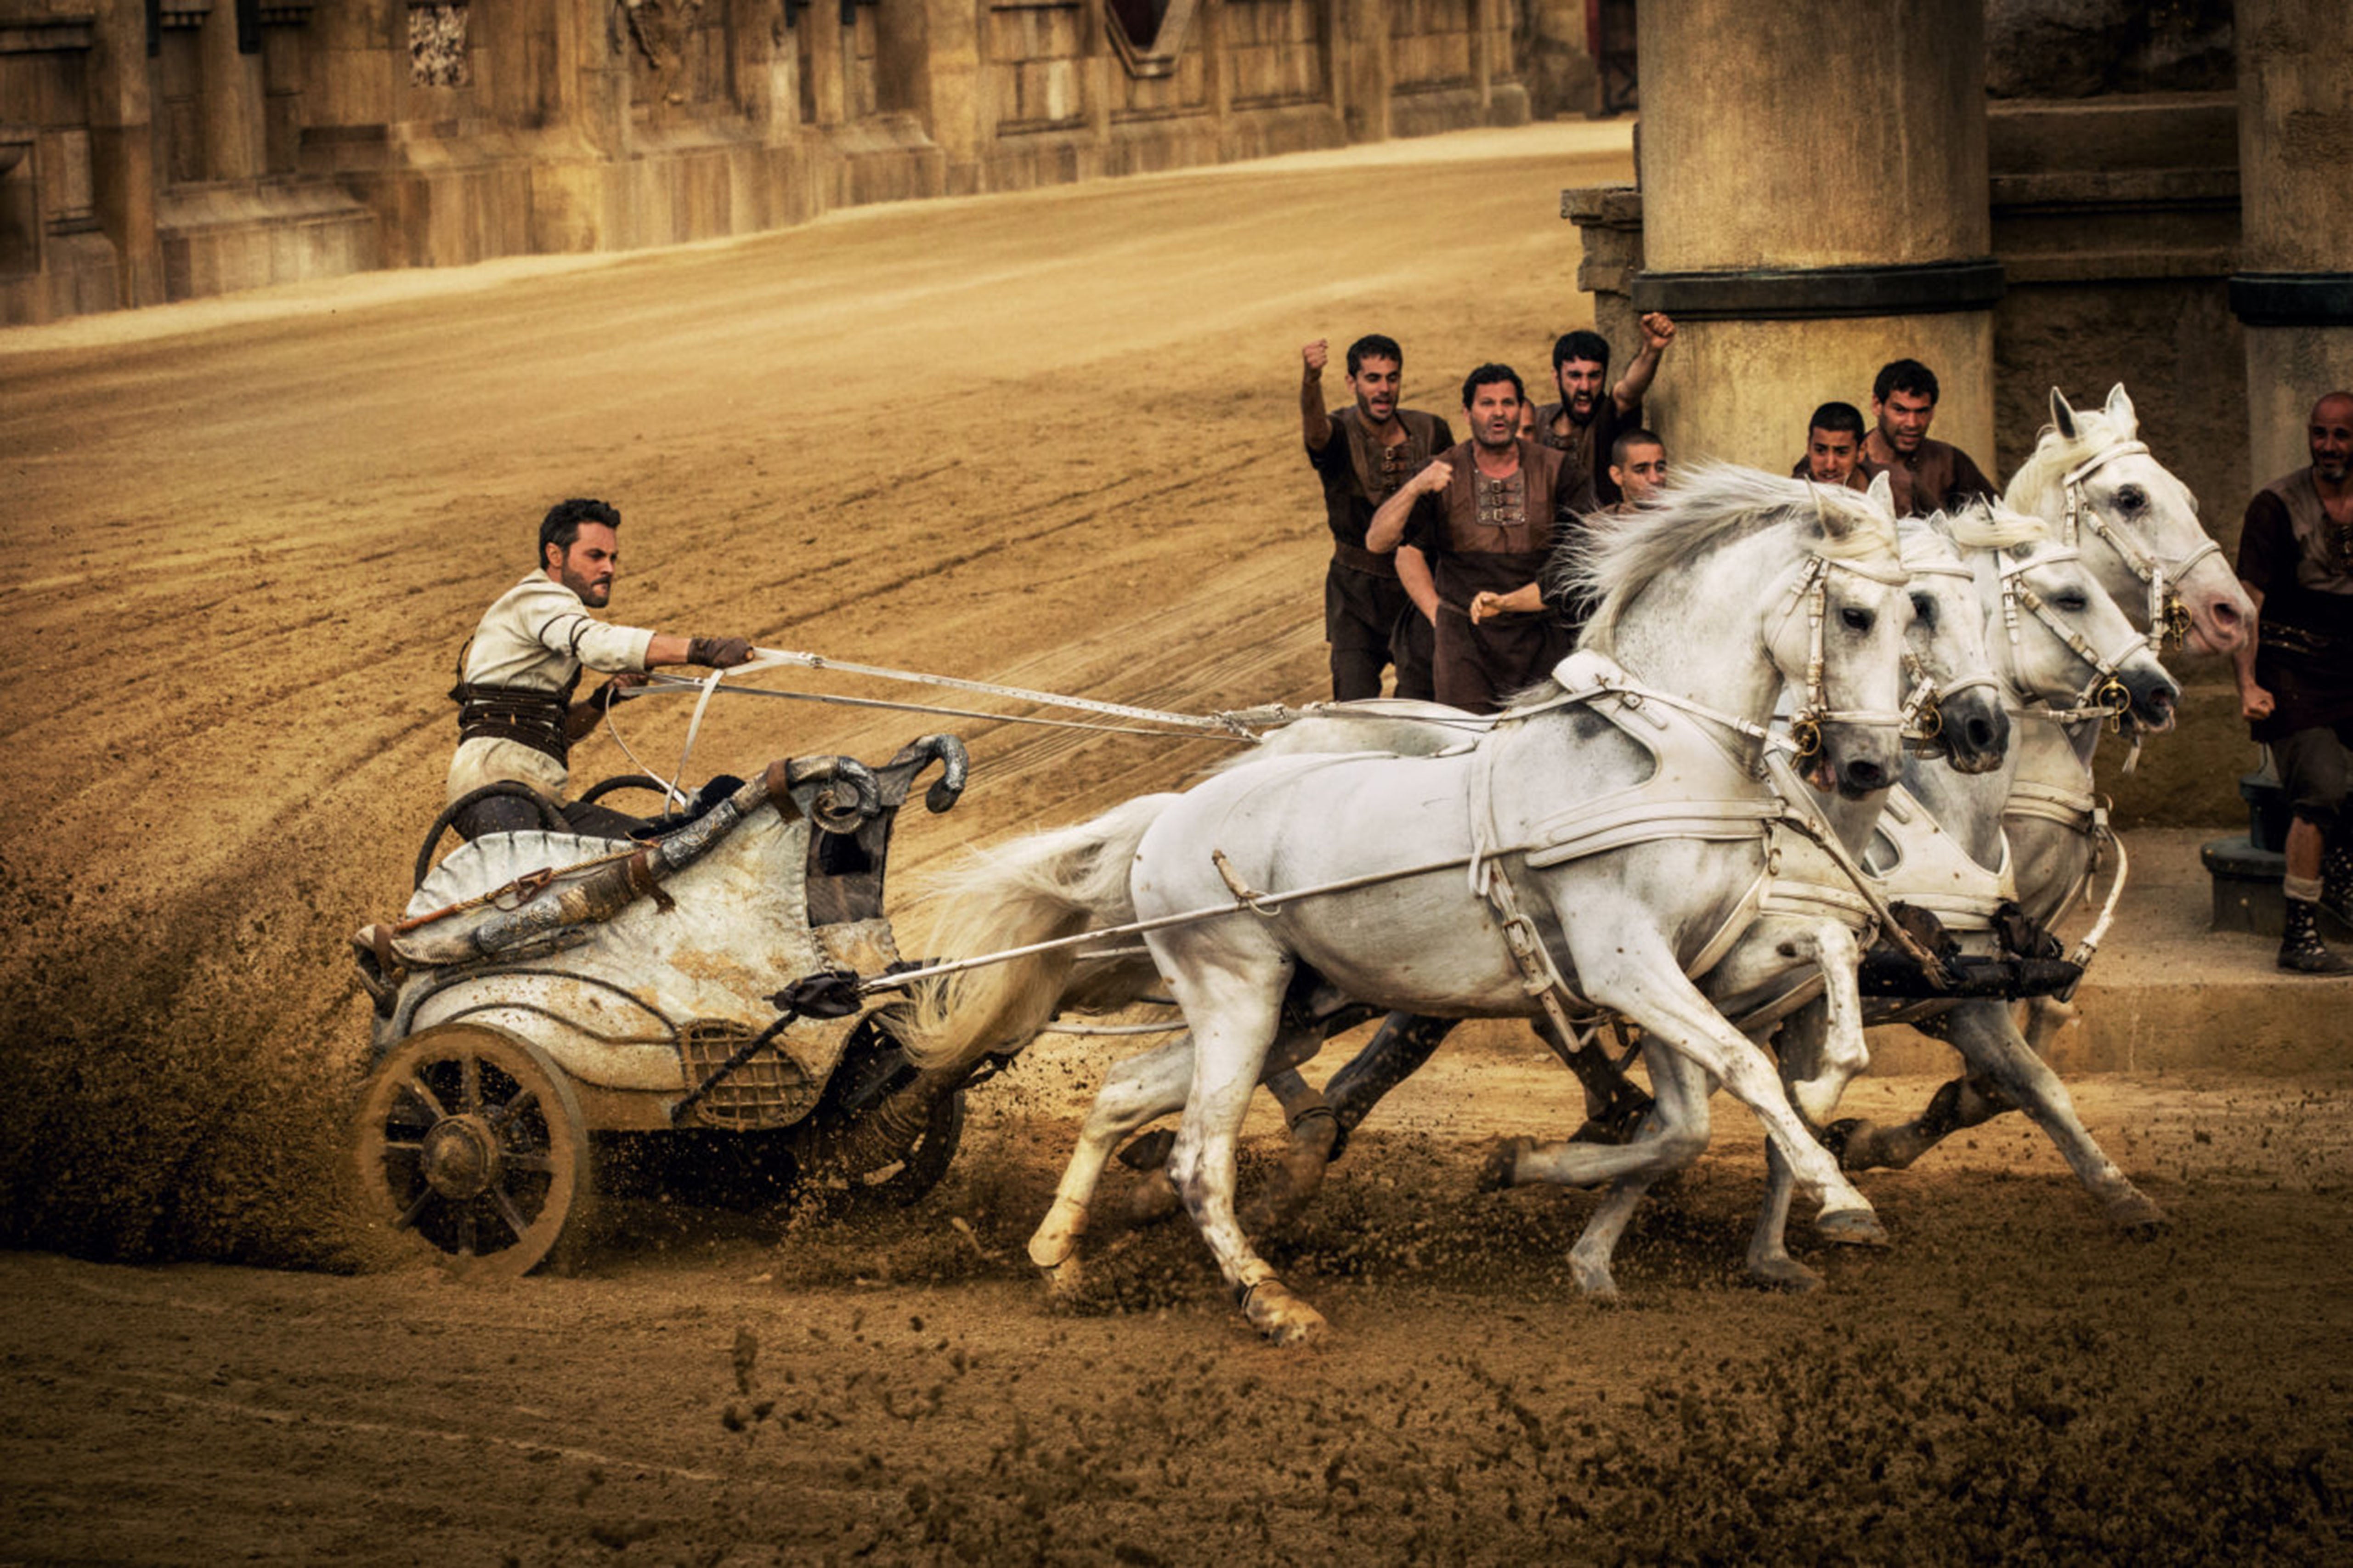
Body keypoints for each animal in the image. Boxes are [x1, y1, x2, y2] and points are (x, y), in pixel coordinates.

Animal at [899, 459, 1911, 1337]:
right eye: (1856, 612)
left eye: (1914, 611)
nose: (1872, 764)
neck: (1658, 755)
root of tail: (1166, 815)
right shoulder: (1624, 964)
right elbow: (1739, 1068)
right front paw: (1842, 1196)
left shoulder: (1700, 959)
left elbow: (1784, 1004)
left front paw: (1819, 1080)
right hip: (1237, 995)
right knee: (1197, 1157)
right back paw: (1271, 1301)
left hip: (1291, 1009)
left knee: (1122, 1091)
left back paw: (1058, 1256)